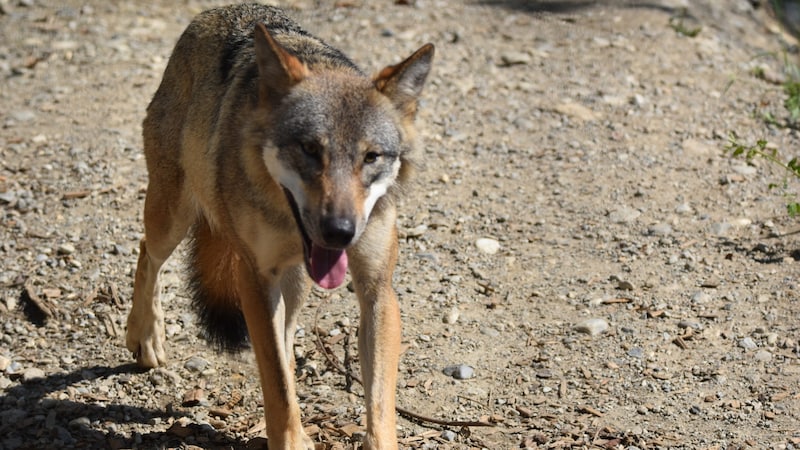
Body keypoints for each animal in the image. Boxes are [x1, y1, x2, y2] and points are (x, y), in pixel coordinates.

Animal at [125, 4, 434, 450]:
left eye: (371, 157)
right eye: (310, 149)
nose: (340, 231)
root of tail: (215, 12)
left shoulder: (377, 289)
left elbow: (377, 406)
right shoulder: (255, 277)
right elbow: (279, 391)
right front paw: (289, 438)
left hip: (296, 282)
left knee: (286, 343)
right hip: (172, 219)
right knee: (146, 254)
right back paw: (145, 336)